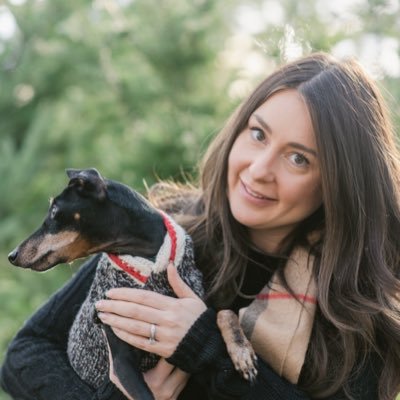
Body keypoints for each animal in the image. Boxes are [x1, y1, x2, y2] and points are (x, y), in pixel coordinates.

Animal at [9, 169, 258, 400]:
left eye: (54, 212)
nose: (12, 255)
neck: (148, 261)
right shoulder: (122, 364)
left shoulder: (196, 305)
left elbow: (225, 312)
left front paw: (242, 353)